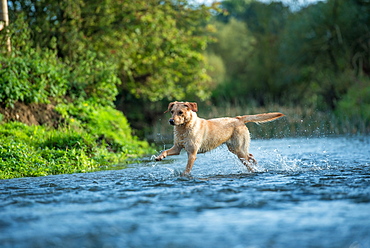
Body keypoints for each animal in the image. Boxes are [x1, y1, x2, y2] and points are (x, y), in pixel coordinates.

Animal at [155, 101, 284, 175]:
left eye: (180, 112)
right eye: (172, 111)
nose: (171, 121)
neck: (184, 128)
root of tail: (238, 118)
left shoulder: (192, 153)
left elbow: (187, 169)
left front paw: (184, 175)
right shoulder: (177, 147)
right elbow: (165, 151)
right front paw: (159, 157)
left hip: (239, 150)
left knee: (248, 160)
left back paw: (255, 168)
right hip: (234, 149)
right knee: (251, 155)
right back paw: (256, 164)